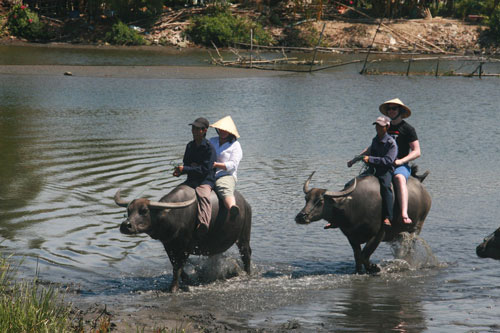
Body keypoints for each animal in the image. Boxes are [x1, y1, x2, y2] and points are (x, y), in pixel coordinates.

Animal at [115, 184, 252, 290]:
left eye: (144, 211)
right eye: (129, 211)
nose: (125, 225)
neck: (172, 217)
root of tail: (245, 203)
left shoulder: (185, 248)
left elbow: (178, 267)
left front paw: (173, 288)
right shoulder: (169, 245)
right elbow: (175, 265)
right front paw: (187, 280)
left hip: (243, 237)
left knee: (246, 254)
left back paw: (247, 273)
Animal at [294, 167, 432, 274]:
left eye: (320, 201)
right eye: (306, 199)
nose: (301, 216)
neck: (353, 208)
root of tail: (422, 188)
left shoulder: (378, 234)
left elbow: (365, 254)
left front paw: (374, 268)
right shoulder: (351, 237)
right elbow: (358, 256)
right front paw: (359, 271)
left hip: (417, 227)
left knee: (409, 247)